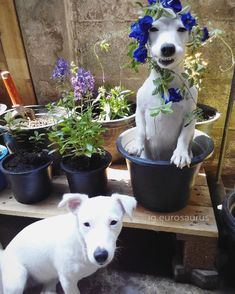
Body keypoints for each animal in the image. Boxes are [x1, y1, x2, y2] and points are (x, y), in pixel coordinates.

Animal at [0, 193, 137, 294]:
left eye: (113, 222)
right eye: (86, 224)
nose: (100, 256)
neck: (81, 245)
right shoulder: (68, 281)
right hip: (17, 279)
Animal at [126, 0, 207, 170]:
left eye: (182, 29)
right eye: (152, 28)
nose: (168, 48)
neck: (166, 84)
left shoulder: (190, 115)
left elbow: (184, 135)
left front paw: (181, 154)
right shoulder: (140, 111)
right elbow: (140, 130)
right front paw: (137, 144)